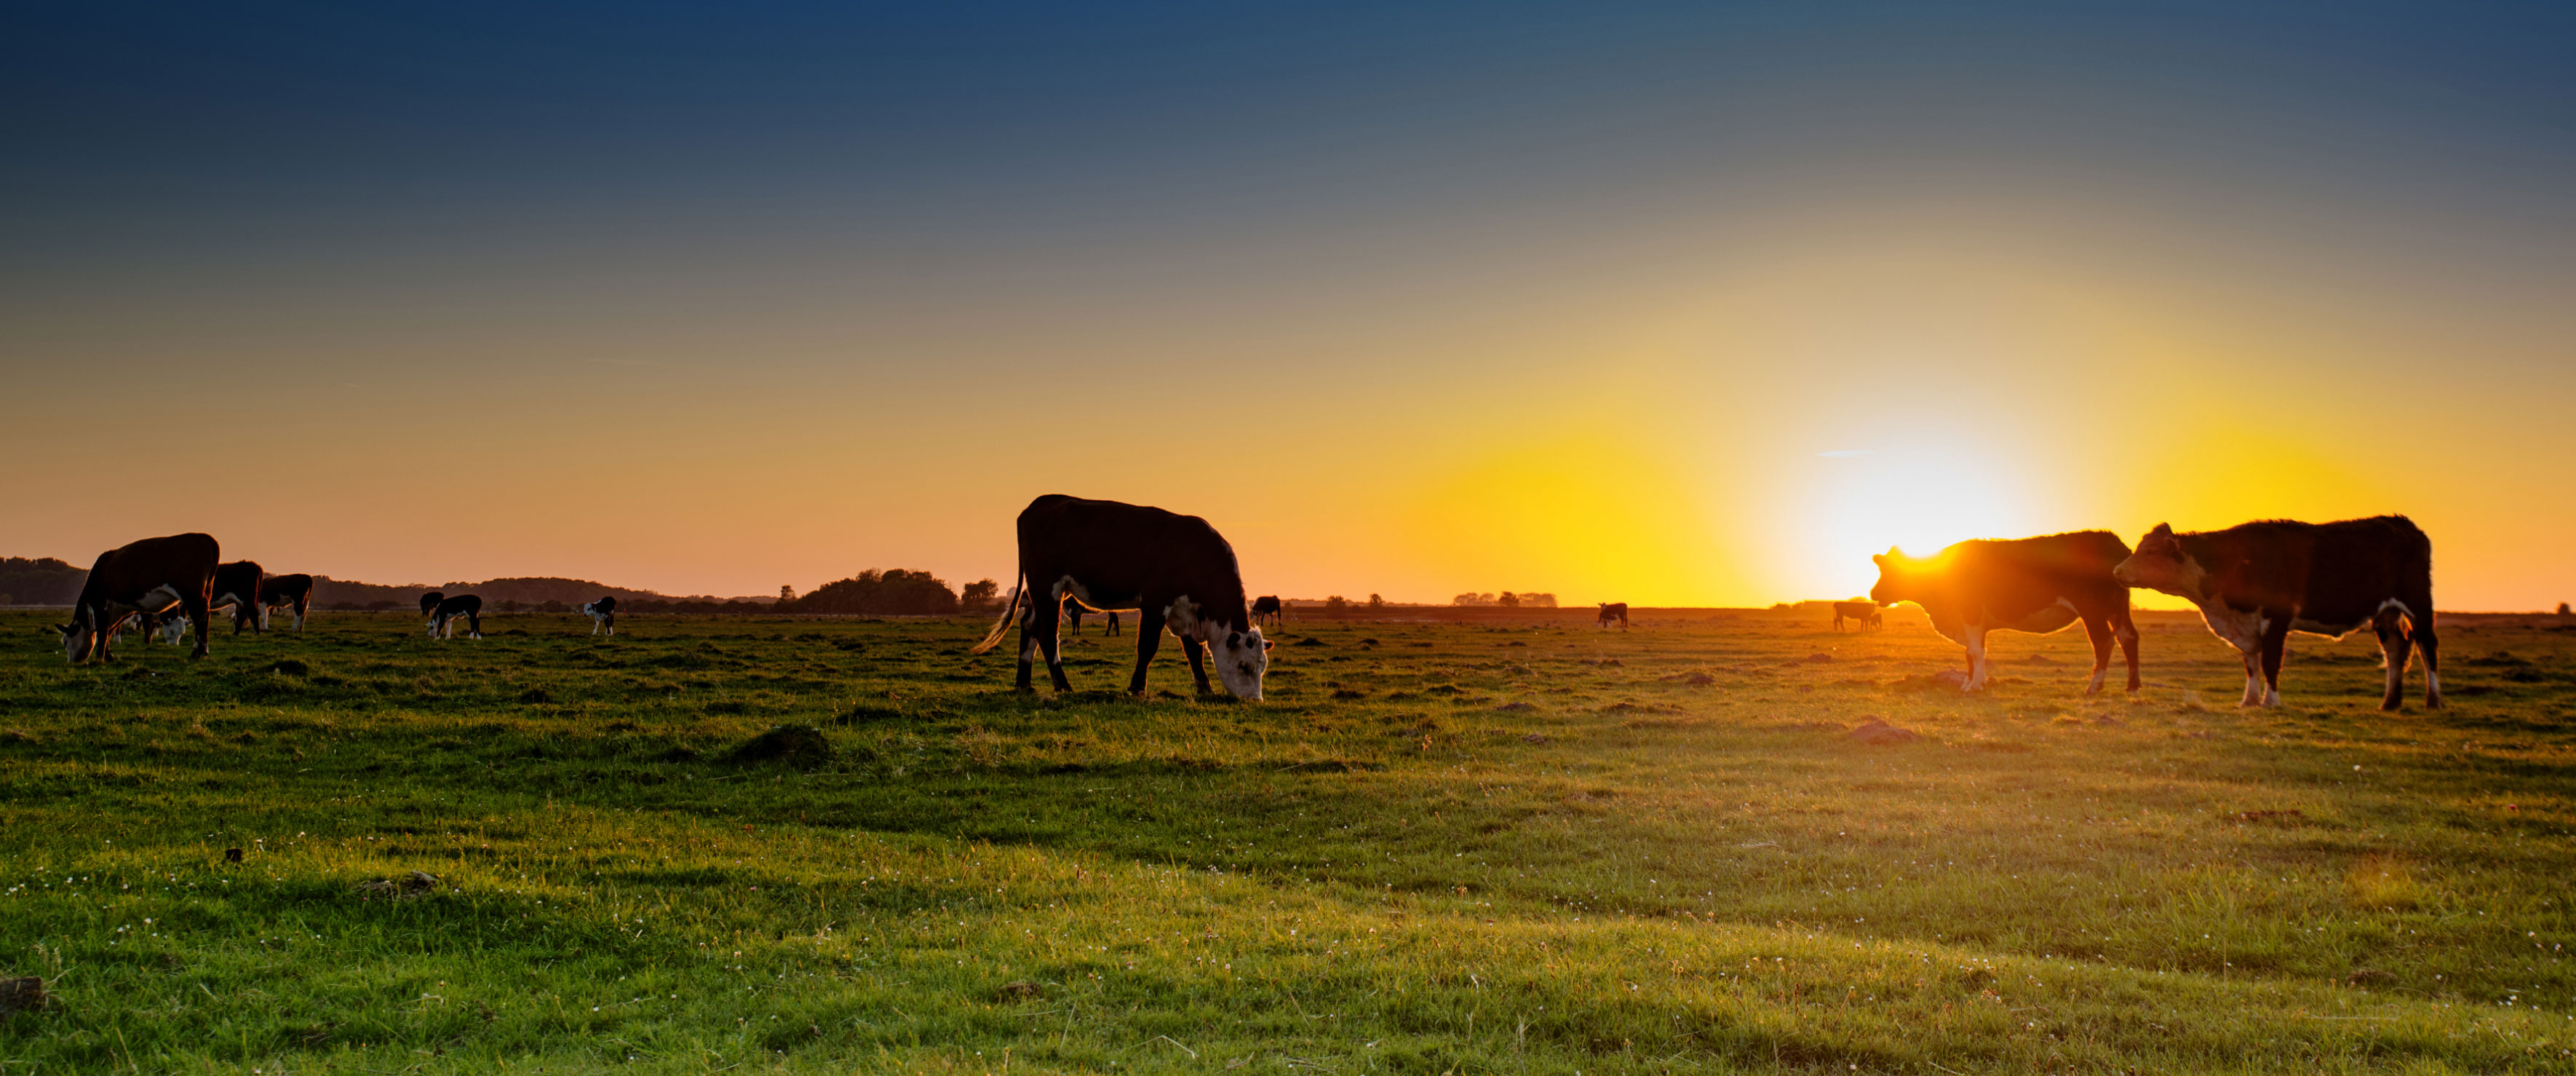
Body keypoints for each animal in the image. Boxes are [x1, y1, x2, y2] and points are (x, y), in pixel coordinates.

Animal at [58, 533, 220, 663]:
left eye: (65, 641)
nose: (71, 662)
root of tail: (205, 538)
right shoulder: (121, 607)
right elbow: (111, 629)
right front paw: (109, 656)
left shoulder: (101, 604)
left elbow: (103, 631)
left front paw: (100, 658)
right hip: (206, 590)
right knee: (205, 616)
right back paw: (202, 651)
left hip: (191, 593)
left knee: (200, 617)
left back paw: (198, 652)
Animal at [968, 494, 1270, 699]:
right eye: (1243, 666)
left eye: (1262, 667)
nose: (1254, 700)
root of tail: (1041, 503)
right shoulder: (1155, 602)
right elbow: (1147, 646)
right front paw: (1137, 687)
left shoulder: (1184, 611)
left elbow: (1193, 652)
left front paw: (1205, 688)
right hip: (1047, 586)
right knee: (1047, 634)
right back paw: (1063, 685)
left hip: (1038, 593)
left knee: (1029, 627)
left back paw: (1024, 684)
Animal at [1869, 531, 2141, 695]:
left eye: (1891, 571)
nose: (1873, 593)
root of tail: (2110, 539)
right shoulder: (1973, 624)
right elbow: (1971, 653)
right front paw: (1969, 682)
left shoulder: (1971, 613)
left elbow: (1975, 652)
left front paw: (1975, 685)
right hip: (2117, 608)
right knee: (2128, 637)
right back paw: (2133, 687)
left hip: (2093, 610)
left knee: (2103, 642)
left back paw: (2094, 686)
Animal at [2113, 517, 2438, 710]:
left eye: (2151, 552)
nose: (2117, 571)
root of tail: (2404, 524)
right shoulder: (2246, 626)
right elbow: (2251, 664)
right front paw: (2248, 700)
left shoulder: (2275, 620)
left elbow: (2270, 662)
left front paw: (2270, 701)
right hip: (2386, 614)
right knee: (2396, 650)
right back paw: (2390, 703)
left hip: (2418, 603)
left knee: (2427, 646)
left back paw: (2433, 700)